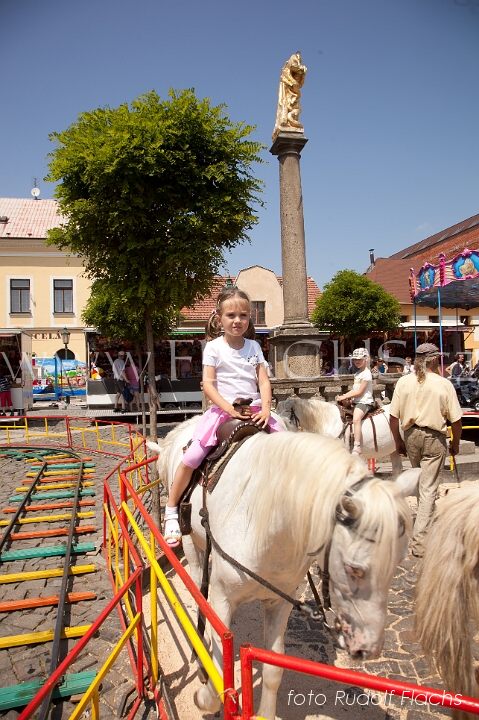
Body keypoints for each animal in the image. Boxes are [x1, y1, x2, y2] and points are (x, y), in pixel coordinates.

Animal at [148, 416, 418, 720]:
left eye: (396, 563)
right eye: (354, 569)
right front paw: (205, 695)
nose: (369, 649)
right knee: (197, 589)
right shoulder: (222, 598)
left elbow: (273, 669)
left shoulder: (280, 602)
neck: (265, 523)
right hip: (191, 544)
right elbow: (219, 668)